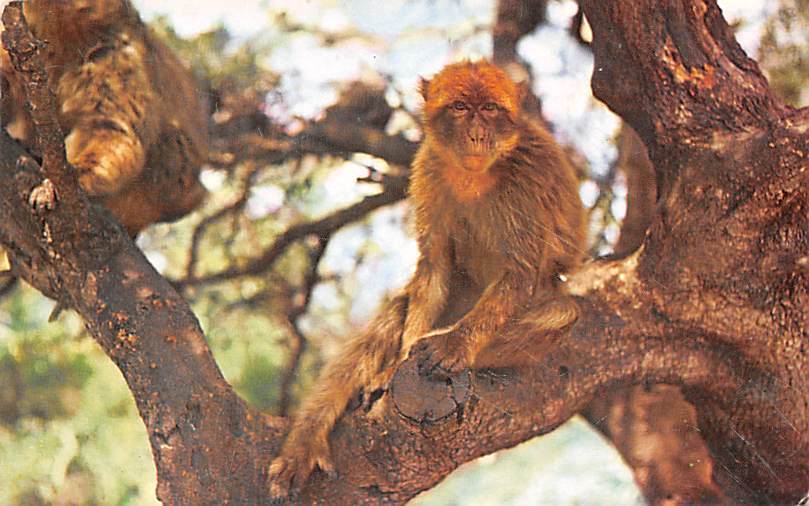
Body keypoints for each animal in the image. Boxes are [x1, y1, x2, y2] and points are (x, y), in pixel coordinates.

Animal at [268, 60, 586, 496]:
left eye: (489, 108)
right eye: (460, 108)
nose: (477, 133)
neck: (474, 175)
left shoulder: (527, 181)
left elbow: (520, 273)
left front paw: (454, 345)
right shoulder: (428, 168)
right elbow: (433, 269)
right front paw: (393, 367)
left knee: (560, 311)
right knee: (397, 312)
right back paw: (309, 438)